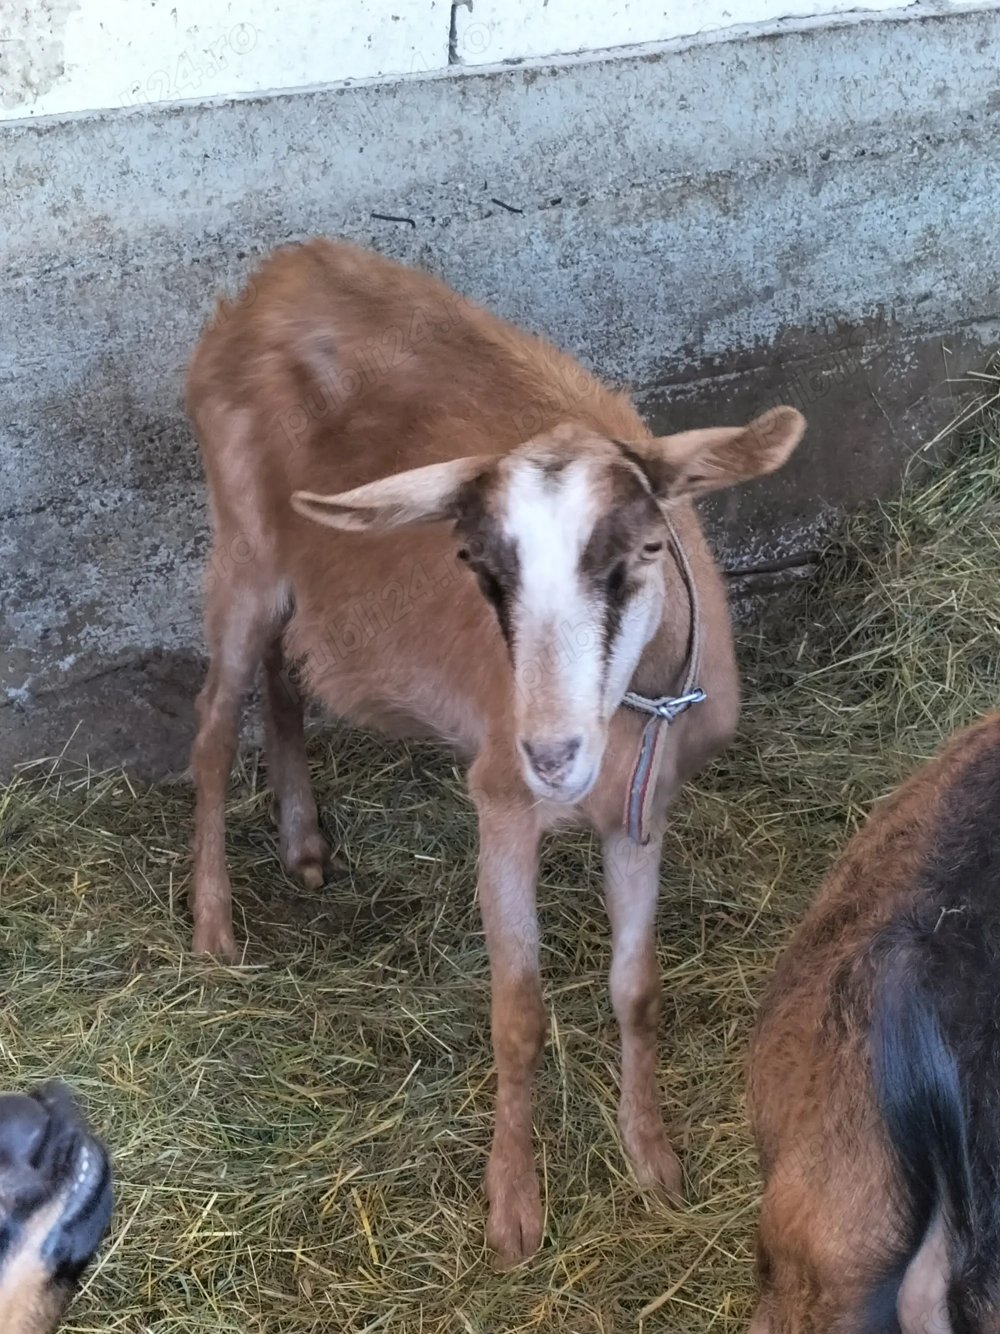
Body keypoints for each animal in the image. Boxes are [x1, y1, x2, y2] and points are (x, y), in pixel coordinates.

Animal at [186, 237, 805, 1264]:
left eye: (641, 551)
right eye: (479, 566)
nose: (551, 752)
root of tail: (282, 267)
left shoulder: (641, 811)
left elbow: (637, 989)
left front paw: (654, 1165)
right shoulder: (501, 807)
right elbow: (517, 1014)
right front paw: (514, 1212)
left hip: (300, 568)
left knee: (287, 667)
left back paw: (305, 844)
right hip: (240, 547)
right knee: (208, 725)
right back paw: (212, 930)